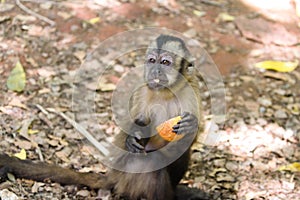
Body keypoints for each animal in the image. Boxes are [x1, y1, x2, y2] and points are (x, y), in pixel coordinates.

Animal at [0, 35, 206, 199]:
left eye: (165, 63)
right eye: (152, 60)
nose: (154, 71)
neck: (166, 92)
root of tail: (115, 176)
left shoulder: (191, 89)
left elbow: (192, 135)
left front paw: (190, 126)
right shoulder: (142, 90)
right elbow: (136, 126)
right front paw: (132, 137)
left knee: (180, 150)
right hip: (130, 177)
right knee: (151, 161)